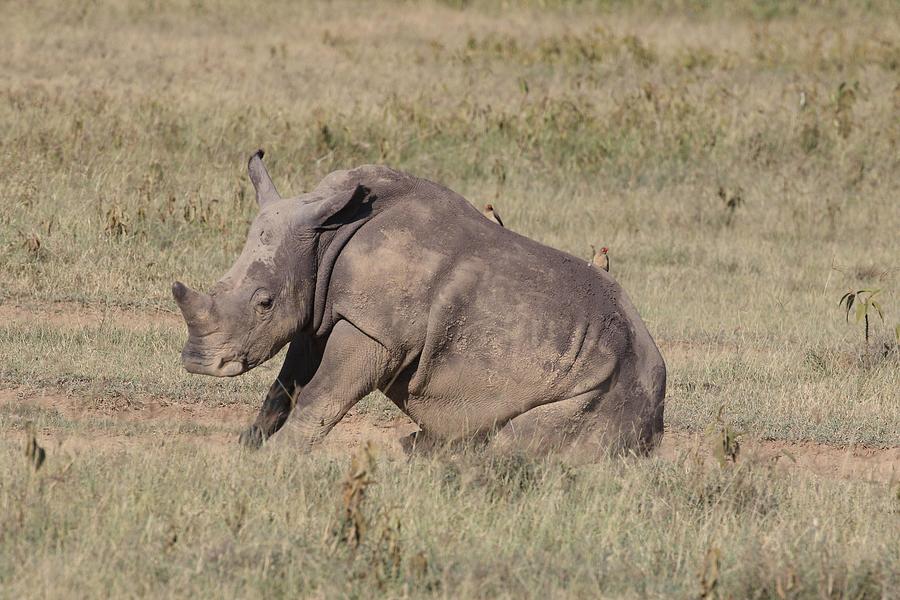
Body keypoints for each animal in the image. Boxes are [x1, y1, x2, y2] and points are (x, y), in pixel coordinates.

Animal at [172, 150, 664, 454]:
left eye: (265, 303)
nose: (198, 362)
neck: (326, 239)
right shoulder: (322, 313)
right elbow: (284, 388)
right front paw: (248, 448)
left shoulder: (377, 332)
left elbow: (322, 394)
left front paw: (282, 460)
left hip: (612, 382)